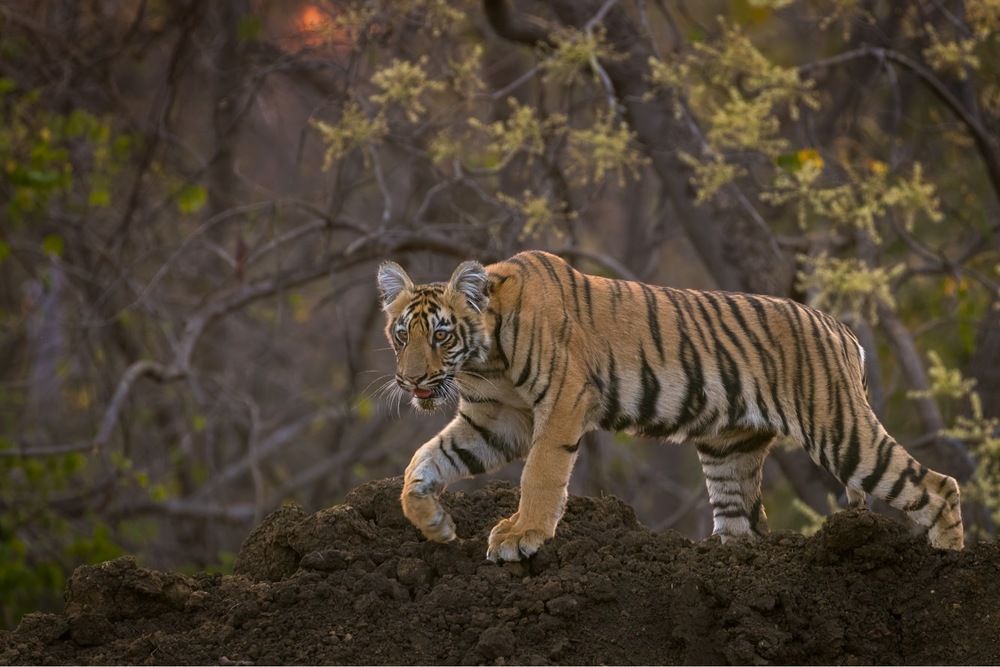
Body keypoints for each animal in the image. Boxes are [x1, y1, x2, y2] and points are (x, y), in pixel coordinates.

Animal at [376, 250, 963, 561]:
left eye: (442, 335)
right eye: (402, 335)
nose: (411, 380)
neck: (485, 359)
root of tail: (841, 328)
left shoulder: (562, 404)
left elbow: (540, 474)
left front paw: (523, 536)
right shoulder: (494, 421)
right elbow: (423, 463)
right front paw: (434, 525)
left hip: (842, 432)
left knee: (936, 485)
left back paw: (949, 565)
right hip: (729, 450)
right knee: (741, 522)